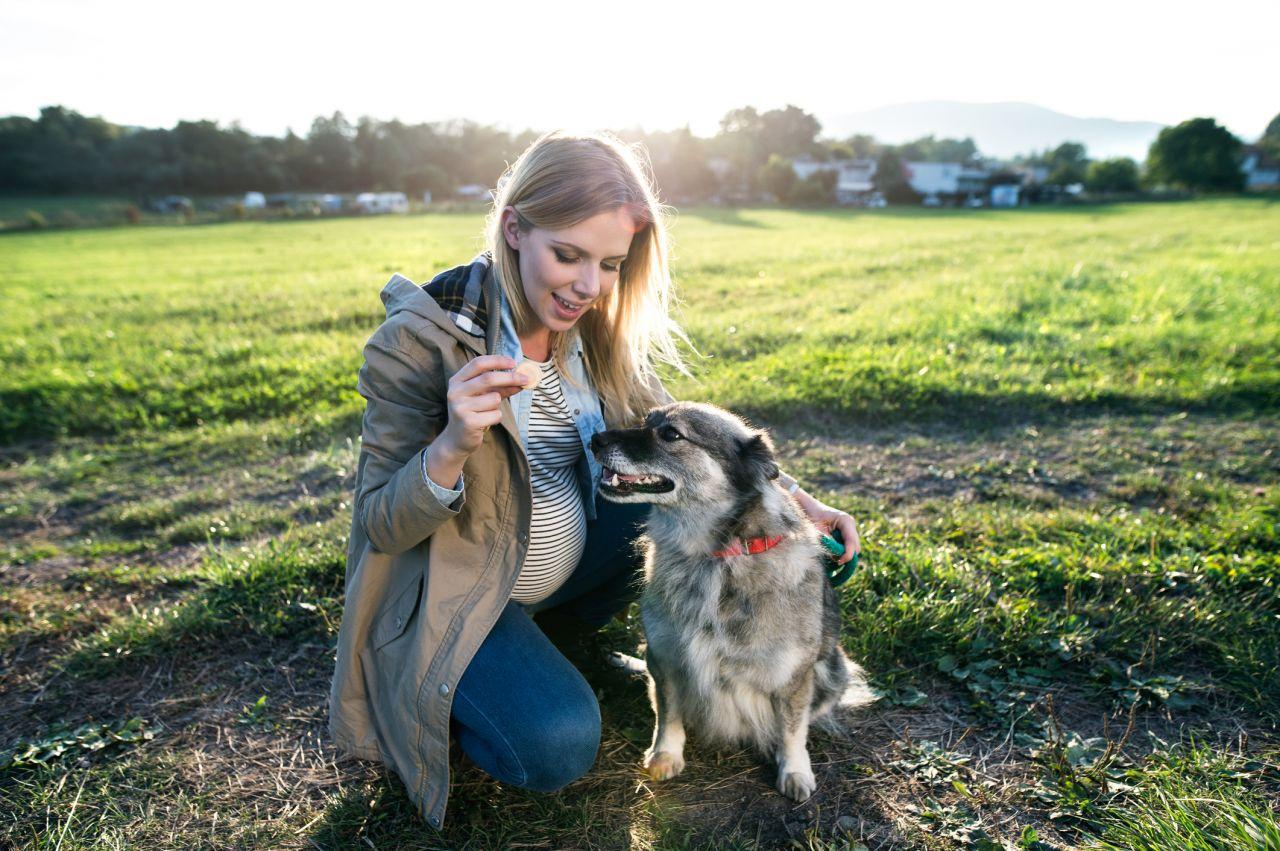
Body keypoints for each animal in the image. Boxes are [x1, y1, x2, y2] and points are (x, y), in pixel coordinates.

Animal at [588, 401, 870, 798]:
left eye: (671, 433)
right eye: (646, 420)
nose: (595, 440)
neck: (713, 557)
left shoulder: (793, 674)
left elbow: (792, 727)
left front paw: (794, 769)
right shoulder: (665, 656)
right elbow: (668, 713)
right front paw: (665, 755)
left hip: (834, 667)